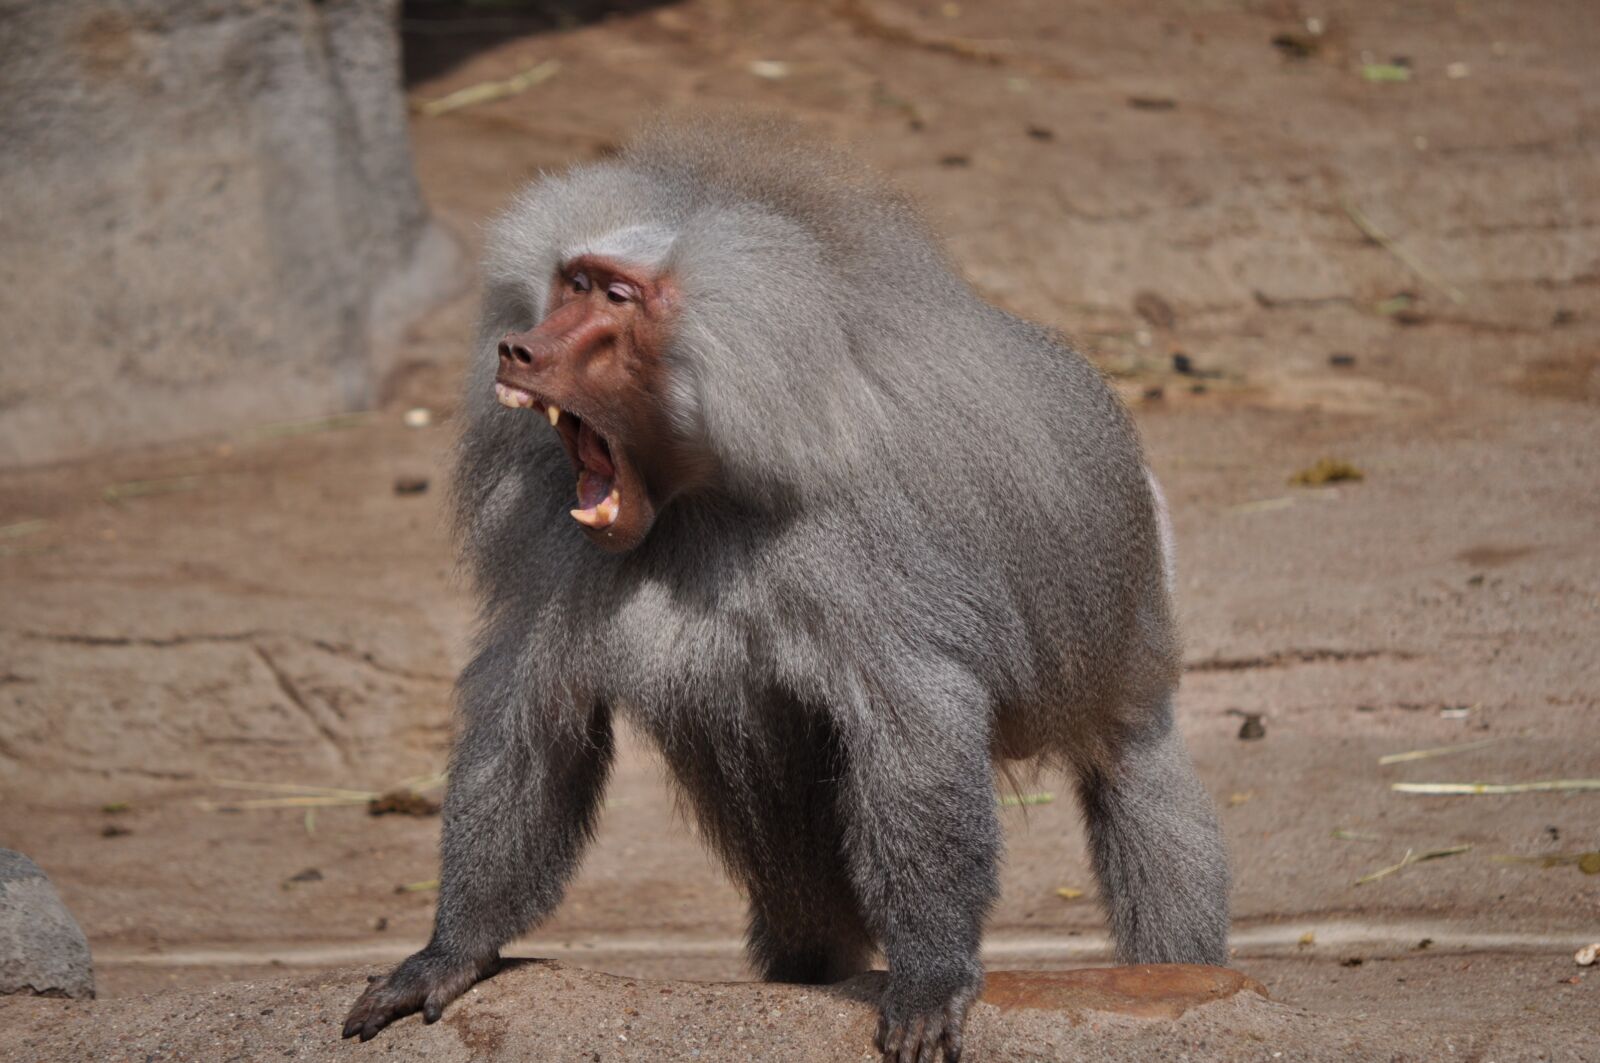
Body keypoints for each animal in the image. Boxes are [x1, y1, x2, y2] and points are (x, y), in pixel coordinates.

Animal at [342, 114, 1229, 1063]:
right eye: (570, 283)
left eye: (617, 297)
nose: (521, 349)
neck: (706, 489)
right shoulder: (558, 547)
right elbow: (533, 719)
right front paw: (448, 954)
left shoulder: (866, 541)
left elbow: (915, 727)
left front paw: (931, 976)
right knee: (787, 849)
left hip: (1130, 605)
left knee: (1135, 773)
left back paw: (1181, 974)